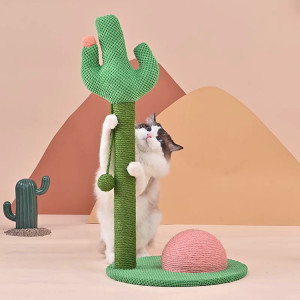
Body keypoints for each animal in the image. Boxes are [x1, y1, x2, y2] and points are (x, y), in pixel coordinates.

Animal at [95, 112, 183, 262]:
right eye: (148, 129)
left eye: (159, 139)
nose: (149, 136)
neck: (139, 154)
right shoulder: (110, 168)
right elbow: (106, 139)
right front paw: (111, 120)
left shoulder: (140, 188)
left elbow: (140, 172)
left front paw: (134, 167)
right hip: (110, 232)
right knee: (110, 249)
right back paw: (113, 259)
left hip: (149, 227)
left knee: (140, 248)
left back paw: (142, 257)